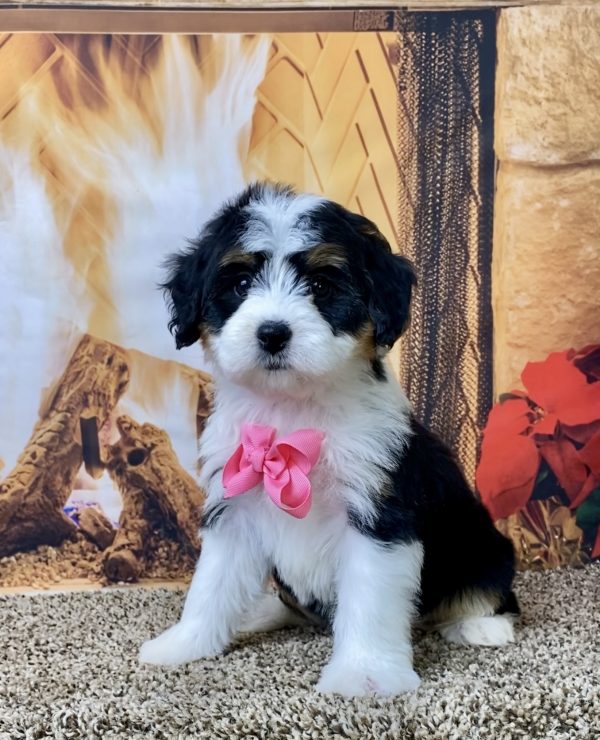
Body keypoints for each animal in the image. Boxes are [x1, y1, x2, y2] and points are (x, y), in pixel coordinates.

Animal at [139, 182, 516, 696]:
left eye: (320, 286)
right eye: (240, 285)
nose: (272, 334)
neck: (293, 412)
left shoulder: (378, 511)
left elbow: (369, 598)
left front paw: (364, 673)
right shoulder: (234, 501)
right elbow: (211, 583)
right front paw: (185, 642)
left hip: (482, 546)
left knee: (488, 587)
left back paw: (482, 624)